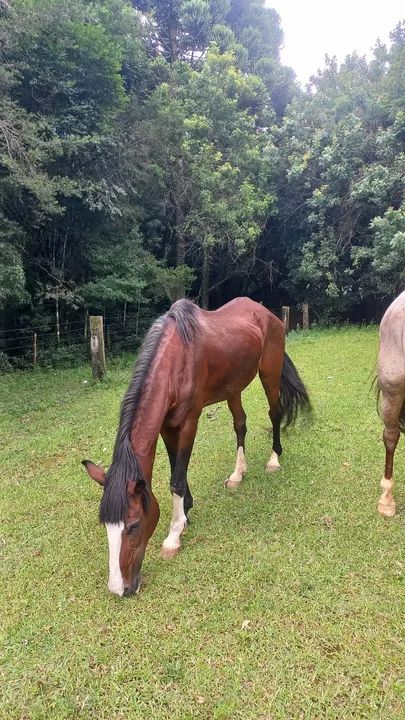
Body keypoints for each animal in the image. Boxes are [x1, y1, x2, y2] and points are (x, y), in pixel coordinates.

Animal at [82, 297, 311, 596]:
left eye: (133, 525)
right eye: (105, 525)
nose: (119, 588)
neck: (175, 360)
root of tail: (267, 314)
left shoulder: (190, 421)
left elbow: (177, 479)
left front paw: (173, 536)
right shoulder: (167, 427)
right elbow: (175, 470)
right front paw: (186, 514)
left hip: (269, 374)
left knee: (275, 412)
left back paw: (274, 460)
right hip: (234, 387)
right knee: (240, 424)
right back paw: (237, 474)